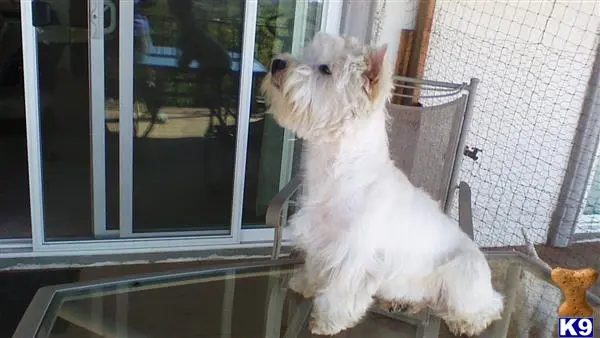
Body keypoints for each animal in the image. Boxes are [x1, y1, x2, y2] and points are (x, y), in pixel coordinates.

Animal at [262, 32, 502, 336]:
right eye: (306, 55)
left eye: (326, 69)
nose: (277, 63)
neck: (337, 167)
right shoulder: (321, 239)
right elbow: (316, 266)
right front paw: (306, 284)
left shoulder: (354, 254)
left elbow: (341, 289)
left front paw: (327, 320)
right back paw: (403, 304)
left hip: (461, 278)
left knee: (488, 306)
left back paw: (466, 322)